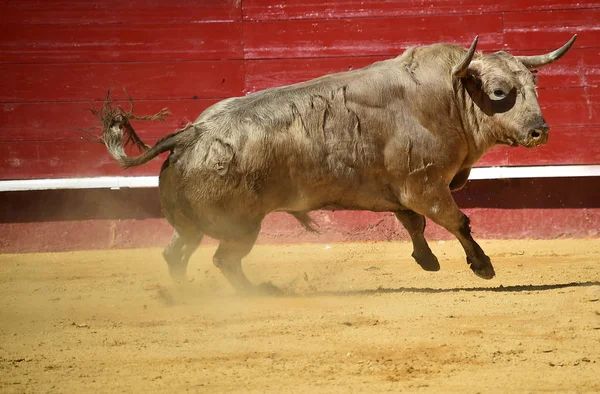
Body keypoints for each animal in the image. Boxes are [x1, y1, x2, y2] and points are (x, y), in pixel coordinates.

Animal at [92, 34, 576, 292]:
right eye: (499, 93)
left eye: (534, 87)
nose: (540, 130)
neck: (449, 98)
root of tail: (191, 132)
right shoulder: (426, 185)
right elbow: (456, 221)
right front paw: (482, 265)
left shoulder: (402, 189)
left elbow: (413, 223)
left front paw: (426, 262)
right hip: (240, 225)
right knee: (223, 259)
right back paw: (257, 293)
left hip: (193, 223)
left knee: (178, 252)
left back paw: (185, 295)